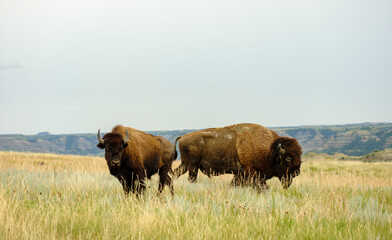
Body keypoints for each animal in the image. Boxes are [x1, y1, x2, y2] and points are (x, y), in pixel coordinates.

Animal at [174, 123, 304, 190]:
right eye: (288, 158)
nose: (297, 172)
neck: (269, 149)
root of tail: (183, 137)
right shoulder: (252, 172)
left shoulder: (240, 174)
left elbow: (235, 183)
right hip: (193, 166)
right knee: (191, 179)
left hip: (186, 165)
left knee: (176, 173)